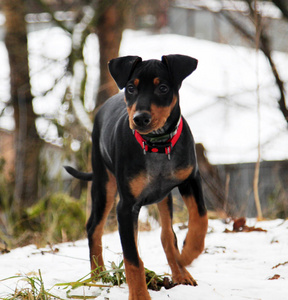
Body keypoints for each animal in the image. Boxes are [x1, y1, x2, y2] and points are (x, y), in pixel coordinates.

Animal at [65, 55, 208, 298]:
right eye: (131, 88)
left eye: (163, 88)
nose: (140, 118)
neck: (157, 145)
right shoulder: (126, 207)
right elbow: (132, 258)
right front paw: (140, 295)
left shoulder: (191, 179)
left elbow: (200, 218)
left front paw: (188, 254)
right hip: (104, 184)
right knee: (94, 228)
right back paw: (98, 276)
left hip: (163, 196)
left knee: (167, 235)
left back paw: (181, 274)